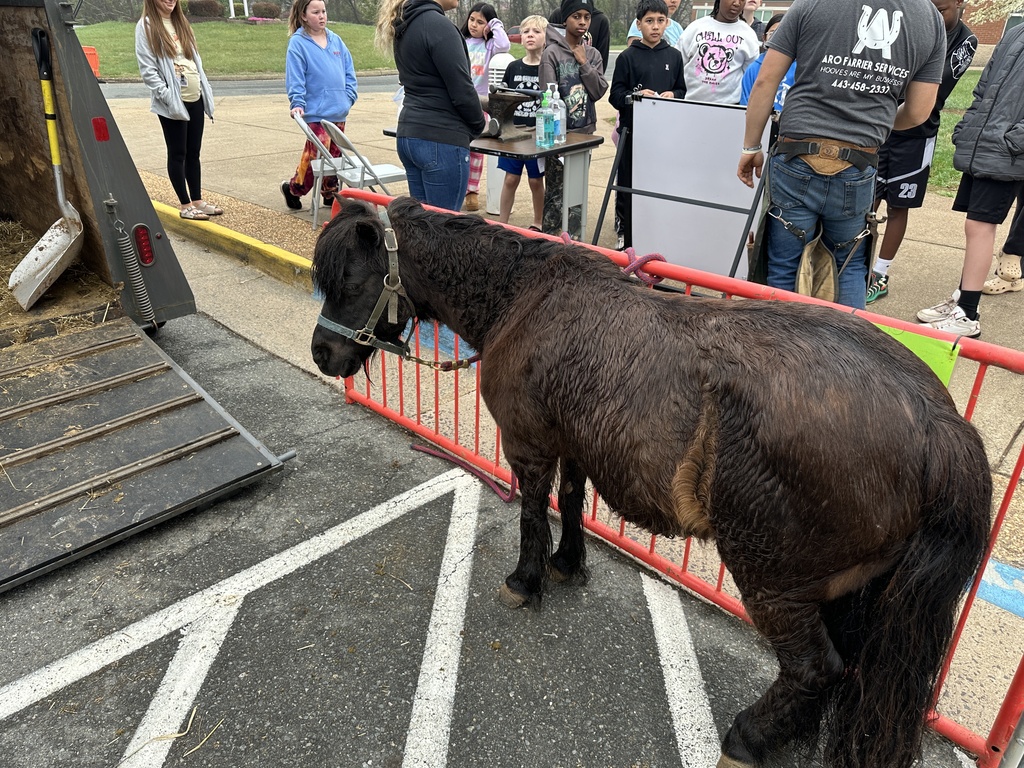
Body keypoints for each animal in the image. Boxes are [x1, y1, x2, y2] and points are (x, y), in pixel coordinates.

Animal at [310, 196, 991, 768]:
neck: (525, 295)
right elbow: (570, 503)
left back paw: (747, 737)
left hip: (774, 578)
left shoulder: (530, 447)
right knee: (841, 670)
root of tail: (937, 425)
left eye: (349, 282)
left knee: (816, 669)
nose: (322, 353)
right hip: (851, 589)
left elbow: (532, 513)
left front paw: (527, 580)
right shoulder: (572, 446)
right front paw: (567, 564)